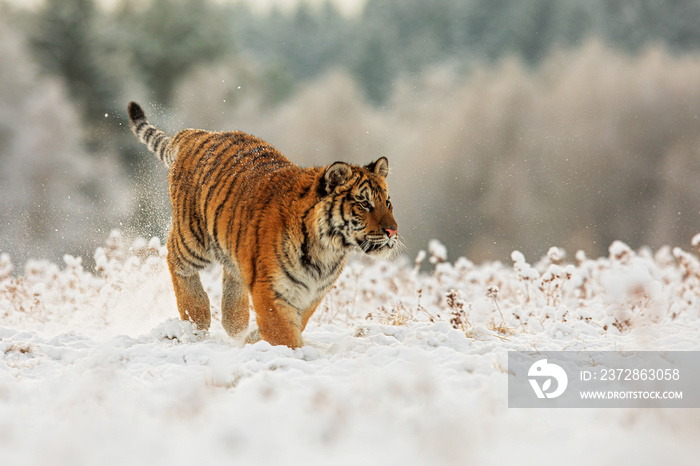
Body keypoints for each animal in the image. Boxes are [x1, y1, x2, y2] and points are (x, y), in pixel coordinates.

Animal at [127, 103, 400, 350]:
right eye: (364, 203)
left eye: (387, 203)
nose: (392, 231)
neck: (328, 250)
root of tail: (199, 134)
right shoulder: (271, 290)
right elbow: (283, 334)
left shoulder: (311, 294)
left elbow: (295, 324)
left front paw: (252, 340)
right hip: (192, 237)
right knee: (175, 260)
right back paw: (197, 319)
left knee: (231, 282)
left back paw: (235, 326)